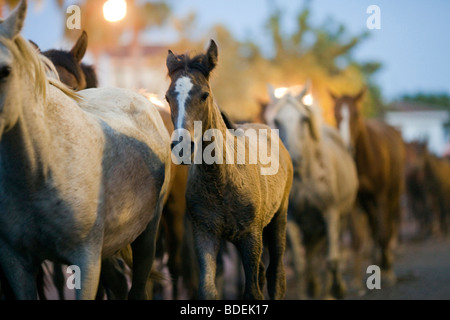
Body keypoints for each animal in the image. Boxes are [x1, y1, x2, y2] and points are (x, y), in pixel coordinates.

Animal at [164, 40, 292, 300]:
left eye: (204, 95)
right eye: (167, 97)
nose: (182, 147)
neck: (222, 180)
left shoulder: (251, 236)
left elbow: (253, 292)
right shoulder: (205, 234)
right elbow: (208, 289)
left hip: (278, 219)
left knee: (276, 275)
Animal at [264, 84, 358, 298]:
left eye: (303, 119)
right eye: (276, 120)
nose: (295, 159)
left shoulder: (330, 213)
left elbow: (332, 259)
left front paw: (334, 291)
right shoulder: (291, 220)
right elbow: (299, 264)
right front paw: (308, 290)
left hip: (340, 218)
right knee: (310, 252)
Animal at [330, 89, 404, 284]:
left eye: (356, 114)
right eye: (336, 115)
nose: (347, 147)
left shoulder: (381, 196)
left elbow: (384, 232)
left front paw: (387, 270)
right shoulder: (355, 201)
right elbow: (357, 238)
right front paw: (357, 282)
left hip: (393, 194)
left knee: (387, 225)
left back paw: (386, 264)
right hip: (367, 202)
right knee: (373, 226)